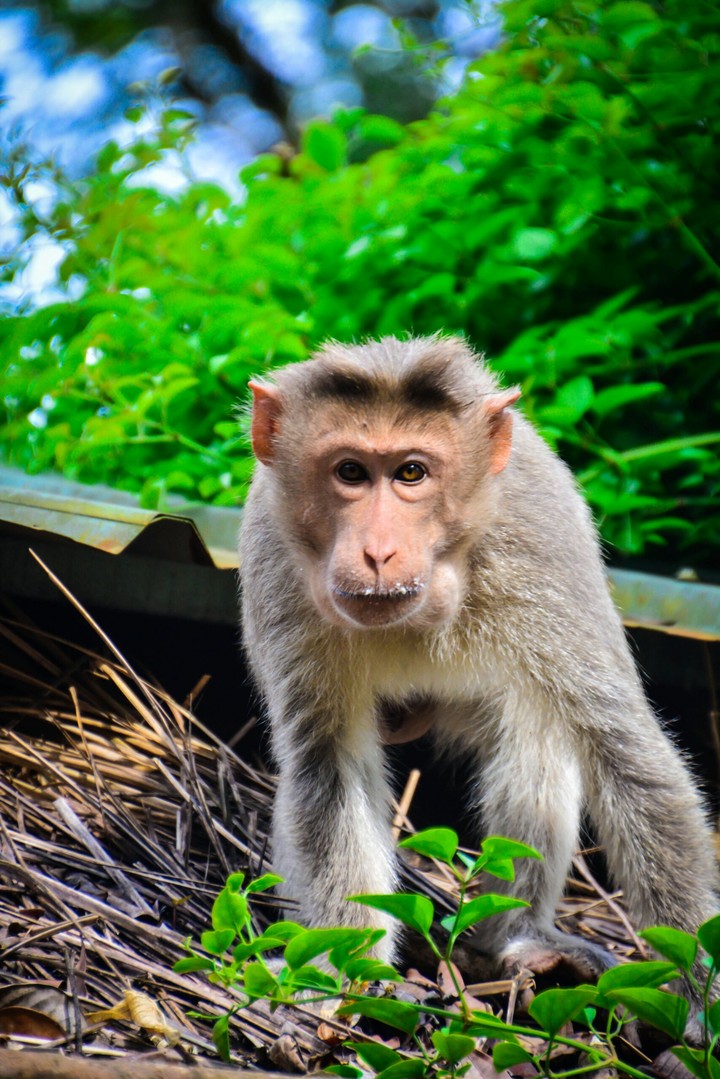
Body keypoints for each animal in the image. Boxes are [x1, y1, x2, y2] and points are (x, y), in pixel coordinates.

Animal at [238, 334, 718, 990]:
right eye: (350, 472)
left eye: (411, 472)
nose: (378, 552)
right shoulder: (275, 562)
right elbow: (325, 764)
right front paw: (348, 971)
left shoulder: (537, 552)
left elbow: (627, 754)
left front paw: (695, 992)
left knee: (539, 739)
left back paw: (520, 939)